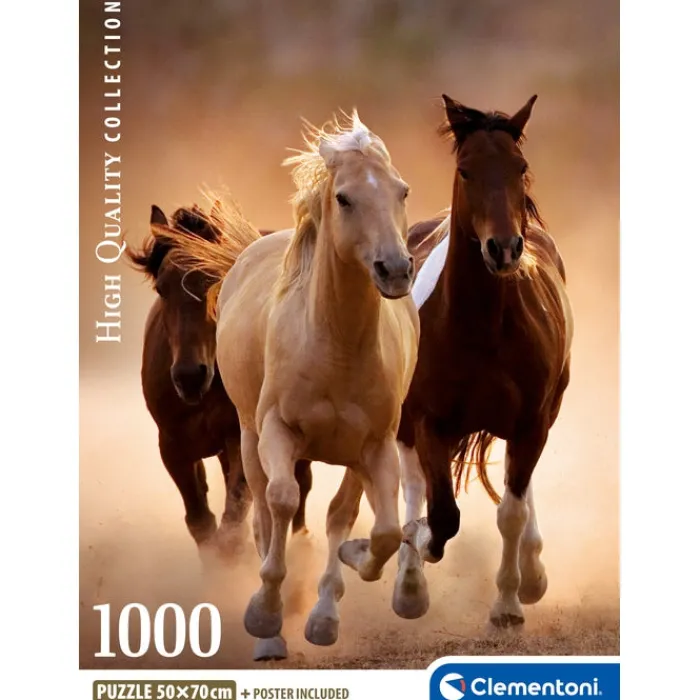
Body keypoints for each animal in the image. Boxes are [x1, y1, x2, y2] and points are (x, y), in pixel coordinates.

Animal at [126, 203, 314, 564]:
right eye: (162, 289)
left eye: (215, 280)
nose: (189, 376)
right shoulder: (173, 446)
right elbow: (201, 521)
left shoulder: (239, 438)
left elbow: (233, 519)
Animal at [160, 112, 420, 660]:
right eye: (344, 197)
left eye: (402, 190)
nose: (395, 269)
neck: (336, 346)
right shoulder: (276, 431)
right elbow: (279, 503)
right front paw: (264, 615)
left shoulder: (376, 446)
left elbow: (381, 530)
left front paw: (351, 570)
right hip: (247, 437)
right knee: (263, 510)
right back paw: (272, 631)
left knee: (341, 513)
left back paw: (323, 613)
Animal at [395, 94, 574, 629]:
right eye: (466, 170)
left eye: (520, 167)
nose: (504, 248)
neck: (482, 328)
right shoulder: (428, 420)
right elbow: (441, 514)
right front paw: (418, 546)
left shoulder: (531, 421)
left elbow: (511, 511)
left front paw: (509, 603)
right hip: (405, 421)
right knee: (412, 484)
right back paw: (408, 585)